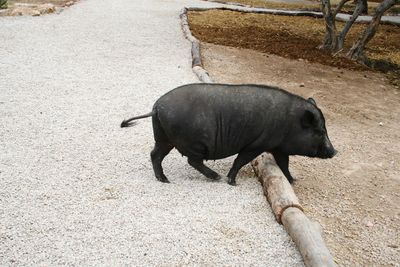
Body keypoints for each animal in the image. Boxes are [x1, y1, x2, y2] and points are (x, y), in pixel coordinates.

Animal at [120, 84, 336, 186]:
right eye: (319, 131)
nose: (334, 151)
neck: (290, 122)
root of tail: (156, 107)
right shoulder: (257, 144)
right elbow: (240, 160)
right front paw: (232, 182)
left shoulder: (277, 146)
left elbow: (284, 164)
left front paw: (293, 181)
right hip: (192, 142)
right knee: (192, 160)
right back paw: (215, 177)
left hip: (164, 137)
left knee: (155, 154)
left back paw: (164, 180)